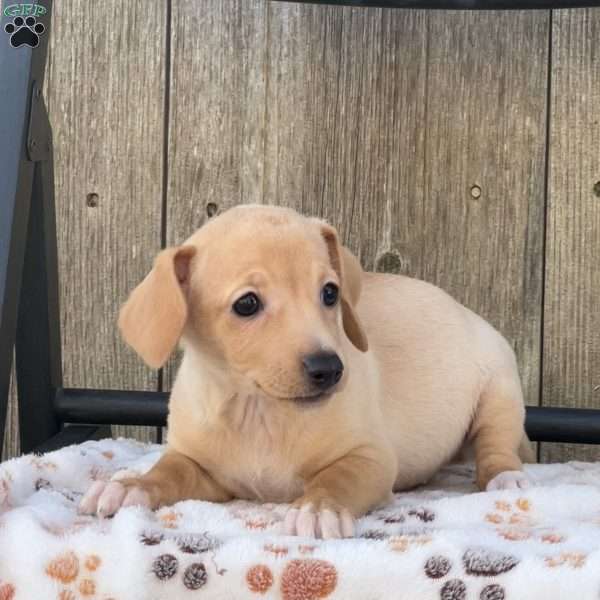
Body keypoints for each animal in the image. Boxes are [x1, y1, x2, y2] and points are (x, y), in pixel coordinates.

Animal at [78, 205, 528, 540]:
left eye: (330, 293)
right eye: (247, 304)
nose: (329, 369)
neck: (259, 413)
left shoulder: (370, 458)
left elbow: (337, 478)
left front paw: (318, 507)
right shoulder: (202, 469)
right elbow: (167, 471)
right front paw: (130, 486)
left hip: (500, 390)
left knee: (497, 445)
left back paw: (504, 477)